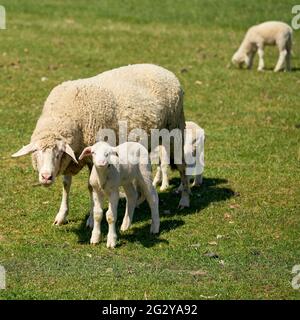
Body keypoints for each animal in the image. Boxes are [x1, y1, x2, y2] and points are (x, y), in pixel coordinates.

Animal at [11, 63, 191, 228]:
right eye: (37, 153)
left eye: (58, 154)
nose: (46, 177)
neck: (63, 115)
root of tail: (163, 69)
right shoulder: (72, 158)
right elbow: (66, 185)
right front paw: (61, 215)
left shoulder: (90, 158)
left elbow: (91, 188)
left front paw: (91, 219)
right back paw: (140, 200)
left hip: (175, 129)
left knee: (182, 167)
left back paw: (184, 199)